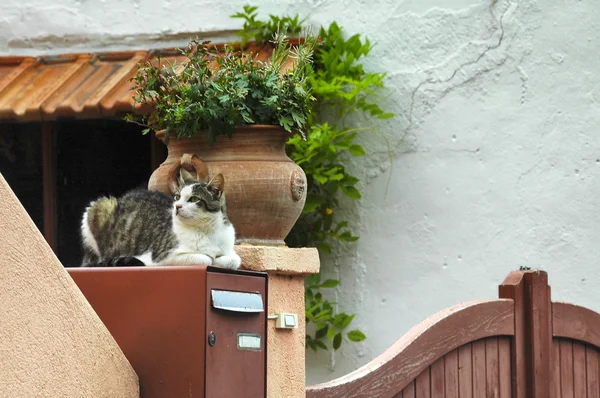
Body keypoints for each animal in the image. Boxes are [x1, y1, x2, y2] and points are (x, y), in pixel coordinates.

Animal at [79, 169, 241, 268]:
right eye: (177, 197)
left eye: (194, 199)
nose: (177, 206)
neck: (207, 230)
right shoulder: (164, 256)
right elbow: (204, 258)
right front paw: (211, 258)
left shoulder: (231, 252)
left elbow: (234, 259)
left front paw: (219, 259)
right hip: (99, 206)